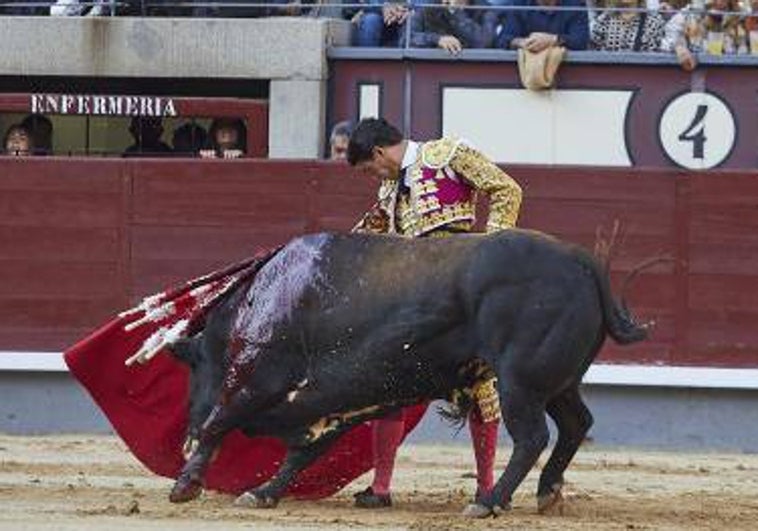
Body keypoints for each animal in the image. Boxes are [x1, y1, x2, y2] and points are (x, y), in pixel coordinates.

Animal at [135, 229, 648, 516]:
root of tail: (581, 260)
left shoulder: (257, 378)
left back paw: (487, 501)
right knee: (576, 423)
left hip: (519, 380)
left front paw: (185, 483)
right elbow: (304, 452)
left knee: (531, 437)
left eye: (193, 370)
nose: (182, 426)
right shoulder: (336, 399)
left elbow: (219, 421)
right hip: (557, 382)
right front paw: (263, 493)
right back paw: (546, 492)